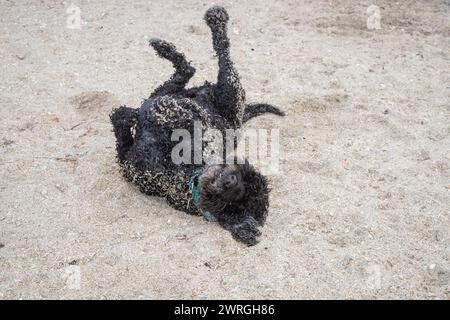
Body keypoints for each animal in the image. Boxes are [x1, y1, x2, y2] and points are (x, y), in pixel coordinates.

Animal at [110, 5, 284, 245]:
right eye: (243, 175)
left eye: (233, 205)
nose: (230, 180)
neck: (188, 174)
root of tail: (240, 116)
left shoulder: (129, 163)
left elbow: (122, 125)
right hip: (195, 91)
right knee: (184, 74)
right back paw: (166, 48)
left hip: (230, 92)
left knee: (218, 53)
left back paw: (215, 18)